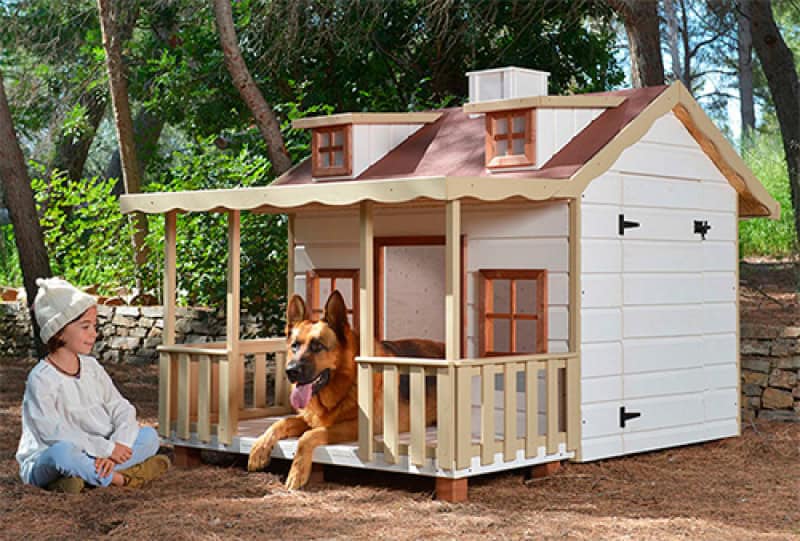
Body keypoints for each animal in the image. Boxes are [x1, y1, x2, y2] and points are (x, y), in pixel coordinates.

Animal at [247, 292, 440, 490]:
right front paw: (259, 448)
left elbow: (308, 435)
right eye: (294, 346)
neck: (346, 384)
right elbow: (281, 422)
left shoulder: (356, 427)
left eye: (317, 346)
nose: (291, 371)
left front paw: (297, 472)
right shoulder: (311, 418)